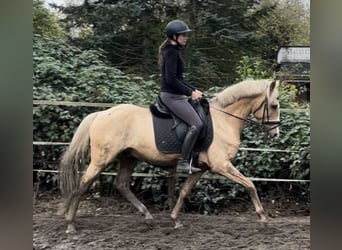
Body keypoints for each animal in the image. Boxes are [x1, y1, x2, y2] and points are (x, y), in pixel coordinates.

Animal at [57, 78, 280, 232]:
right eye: (275, 105)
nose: (276, 134)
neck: (223, 120)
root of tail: (100, 114)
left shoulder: (201, 168)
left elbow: (184, 191)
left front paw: (175, 219)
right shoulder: (221, 165)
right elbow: (249, 184)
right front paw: (263, 218)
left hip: (128, 158)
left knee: (121, 184)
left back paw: (147, 216)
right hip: (101, 160)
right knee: (82, 184)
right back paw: (70, 224)